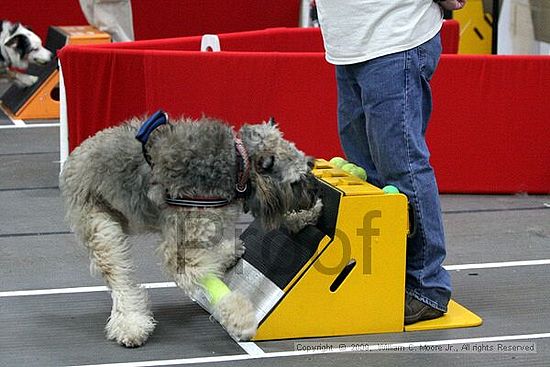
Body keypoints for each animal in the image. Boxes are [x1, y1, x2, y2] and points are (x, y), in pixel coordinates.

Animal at [59, 114, 324, 348]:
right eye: (296, 181)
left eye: (309, 167)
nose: (315, 193)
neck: (238, 167)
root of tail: (74, 158)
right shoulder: (183, 249)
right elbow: (206, 279)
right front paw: (240, 319)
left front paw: (304, 217)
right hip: (103, 230)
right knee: (120, 281)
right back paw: (132, 324)